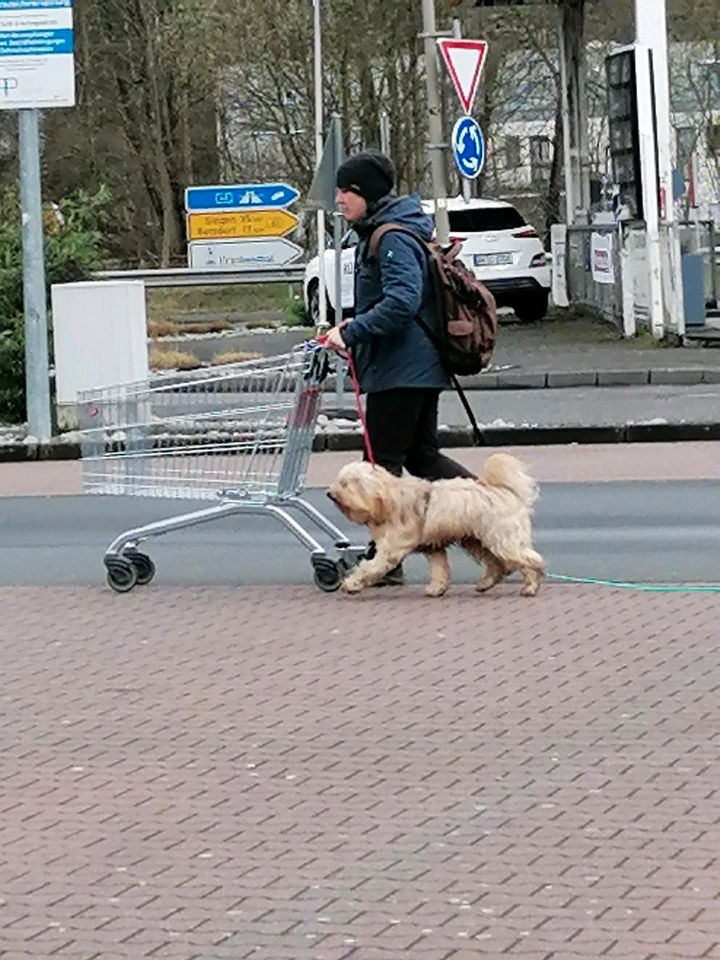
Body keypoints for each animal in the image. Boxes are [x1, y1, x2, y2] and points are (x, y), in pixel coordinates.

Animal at [330, 454, 544, 596]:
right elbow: (439, 568)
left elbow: (371, 566)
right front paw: (437, 588)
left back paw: (531, 586)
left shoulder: (391, 549)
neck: (389, 498)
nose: (329, 493)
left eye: (344, 484)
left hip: (502, 539)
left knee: (531, 559)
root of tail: (505, 492)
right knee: (497, 565)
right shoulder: (433, 547)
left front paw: (351, 583)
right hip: (475, 539)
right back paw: (486, 583)